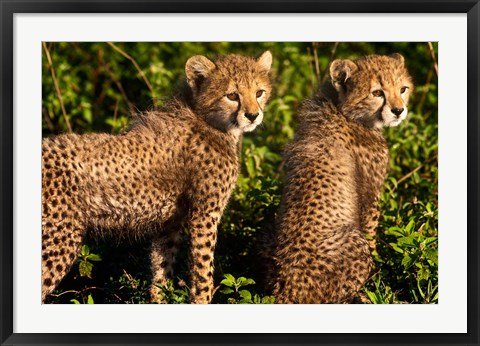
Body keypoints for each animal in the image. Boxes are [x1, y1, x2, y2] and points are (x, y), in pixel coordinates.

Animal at [41, 50, 272, 304]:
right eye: (232, 95)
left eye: (259, 92)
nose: (253, 115)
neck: (207, 120)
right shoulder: (205, 216)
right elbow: (203, 271)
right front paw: (202, 300)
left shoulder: (170, 221)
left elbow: (162, 268)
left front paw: (159, 299)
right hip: (59, 239)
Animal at [270, 53, 412, 302]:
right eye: (377, 93)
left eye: (403, 89)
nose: (398, 110)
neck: (340, 108)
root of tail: (286, 289)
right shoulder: (370, 193)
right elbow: (371, 232)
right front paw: (379, 275)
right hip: (353, 242)